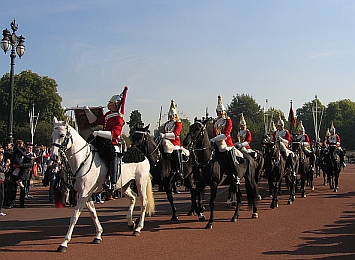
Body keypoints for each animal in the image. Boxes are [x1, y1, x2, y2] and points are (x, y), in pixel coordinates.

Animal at [51, 117, 154, 252]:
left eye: (62, 135)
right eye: (52, 135)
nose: (53, 156)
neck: (83, 160)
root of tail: (141, 154)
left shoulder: (83, 194)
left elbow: (75, 216)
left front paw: (64, 243)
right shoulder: (86, 194)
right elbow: (93, 213)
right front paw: (98, 235)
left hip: (140, 182)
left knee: (144, 202)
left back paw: (138, 228)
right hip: (124, 186)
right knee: (133, 197)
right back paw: (130, 222)